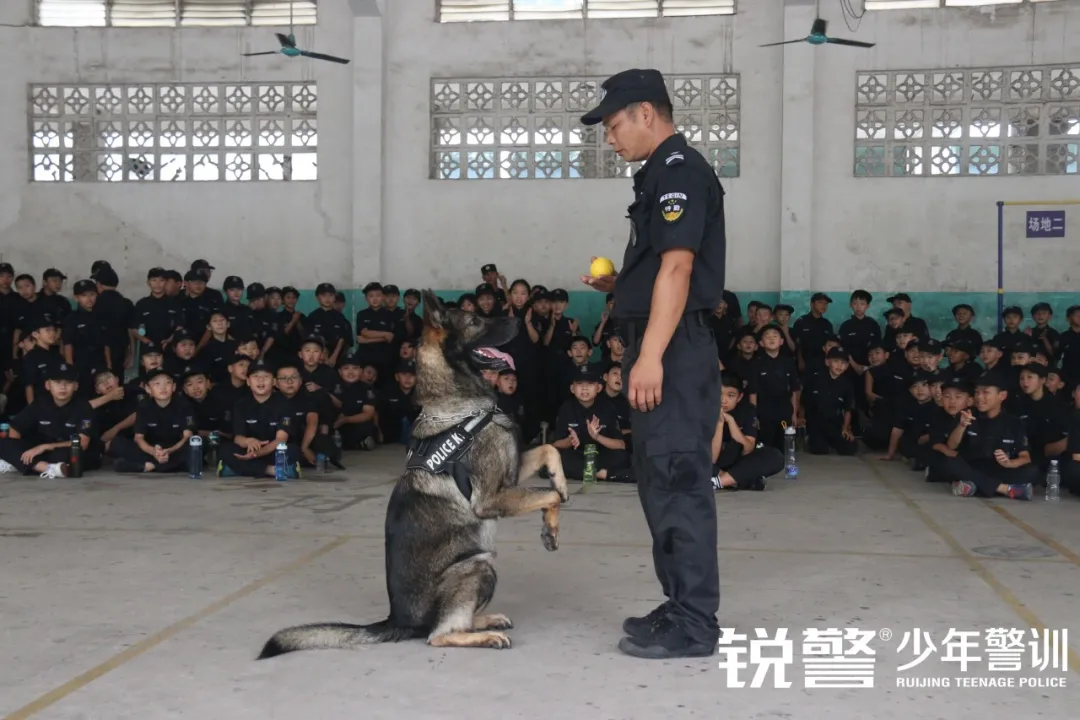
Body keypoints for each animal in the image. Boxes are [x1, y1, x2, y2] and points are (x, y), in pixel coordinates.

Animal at [259, 289, 574, 656]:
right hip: (478, 562)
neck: (460, 406)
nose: (520, 319)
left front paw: (557, 497)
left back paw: (484, 620)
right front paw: (553, 519)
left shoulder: (510, 475)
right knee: (438, 633)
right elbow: (548, 495)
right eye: (475, 321)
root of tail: (398, 620)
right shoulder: (491, 498)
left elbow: (549, 452)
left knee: (450, 622)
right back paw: (481, 636)